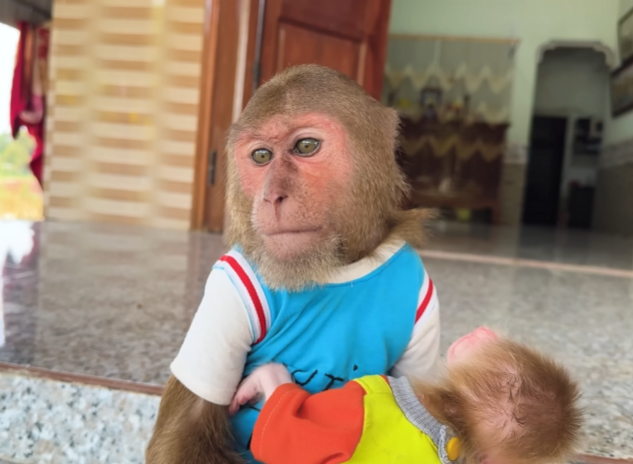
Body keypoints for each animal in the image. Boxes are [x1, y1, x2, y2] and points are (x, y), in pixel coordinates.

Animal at [146, 64, 439, 464]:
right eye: (261, 156)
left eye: (306, 146)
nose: (272, 196)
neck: (338, 266)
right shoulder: (226, 289)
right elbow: (184, 431)